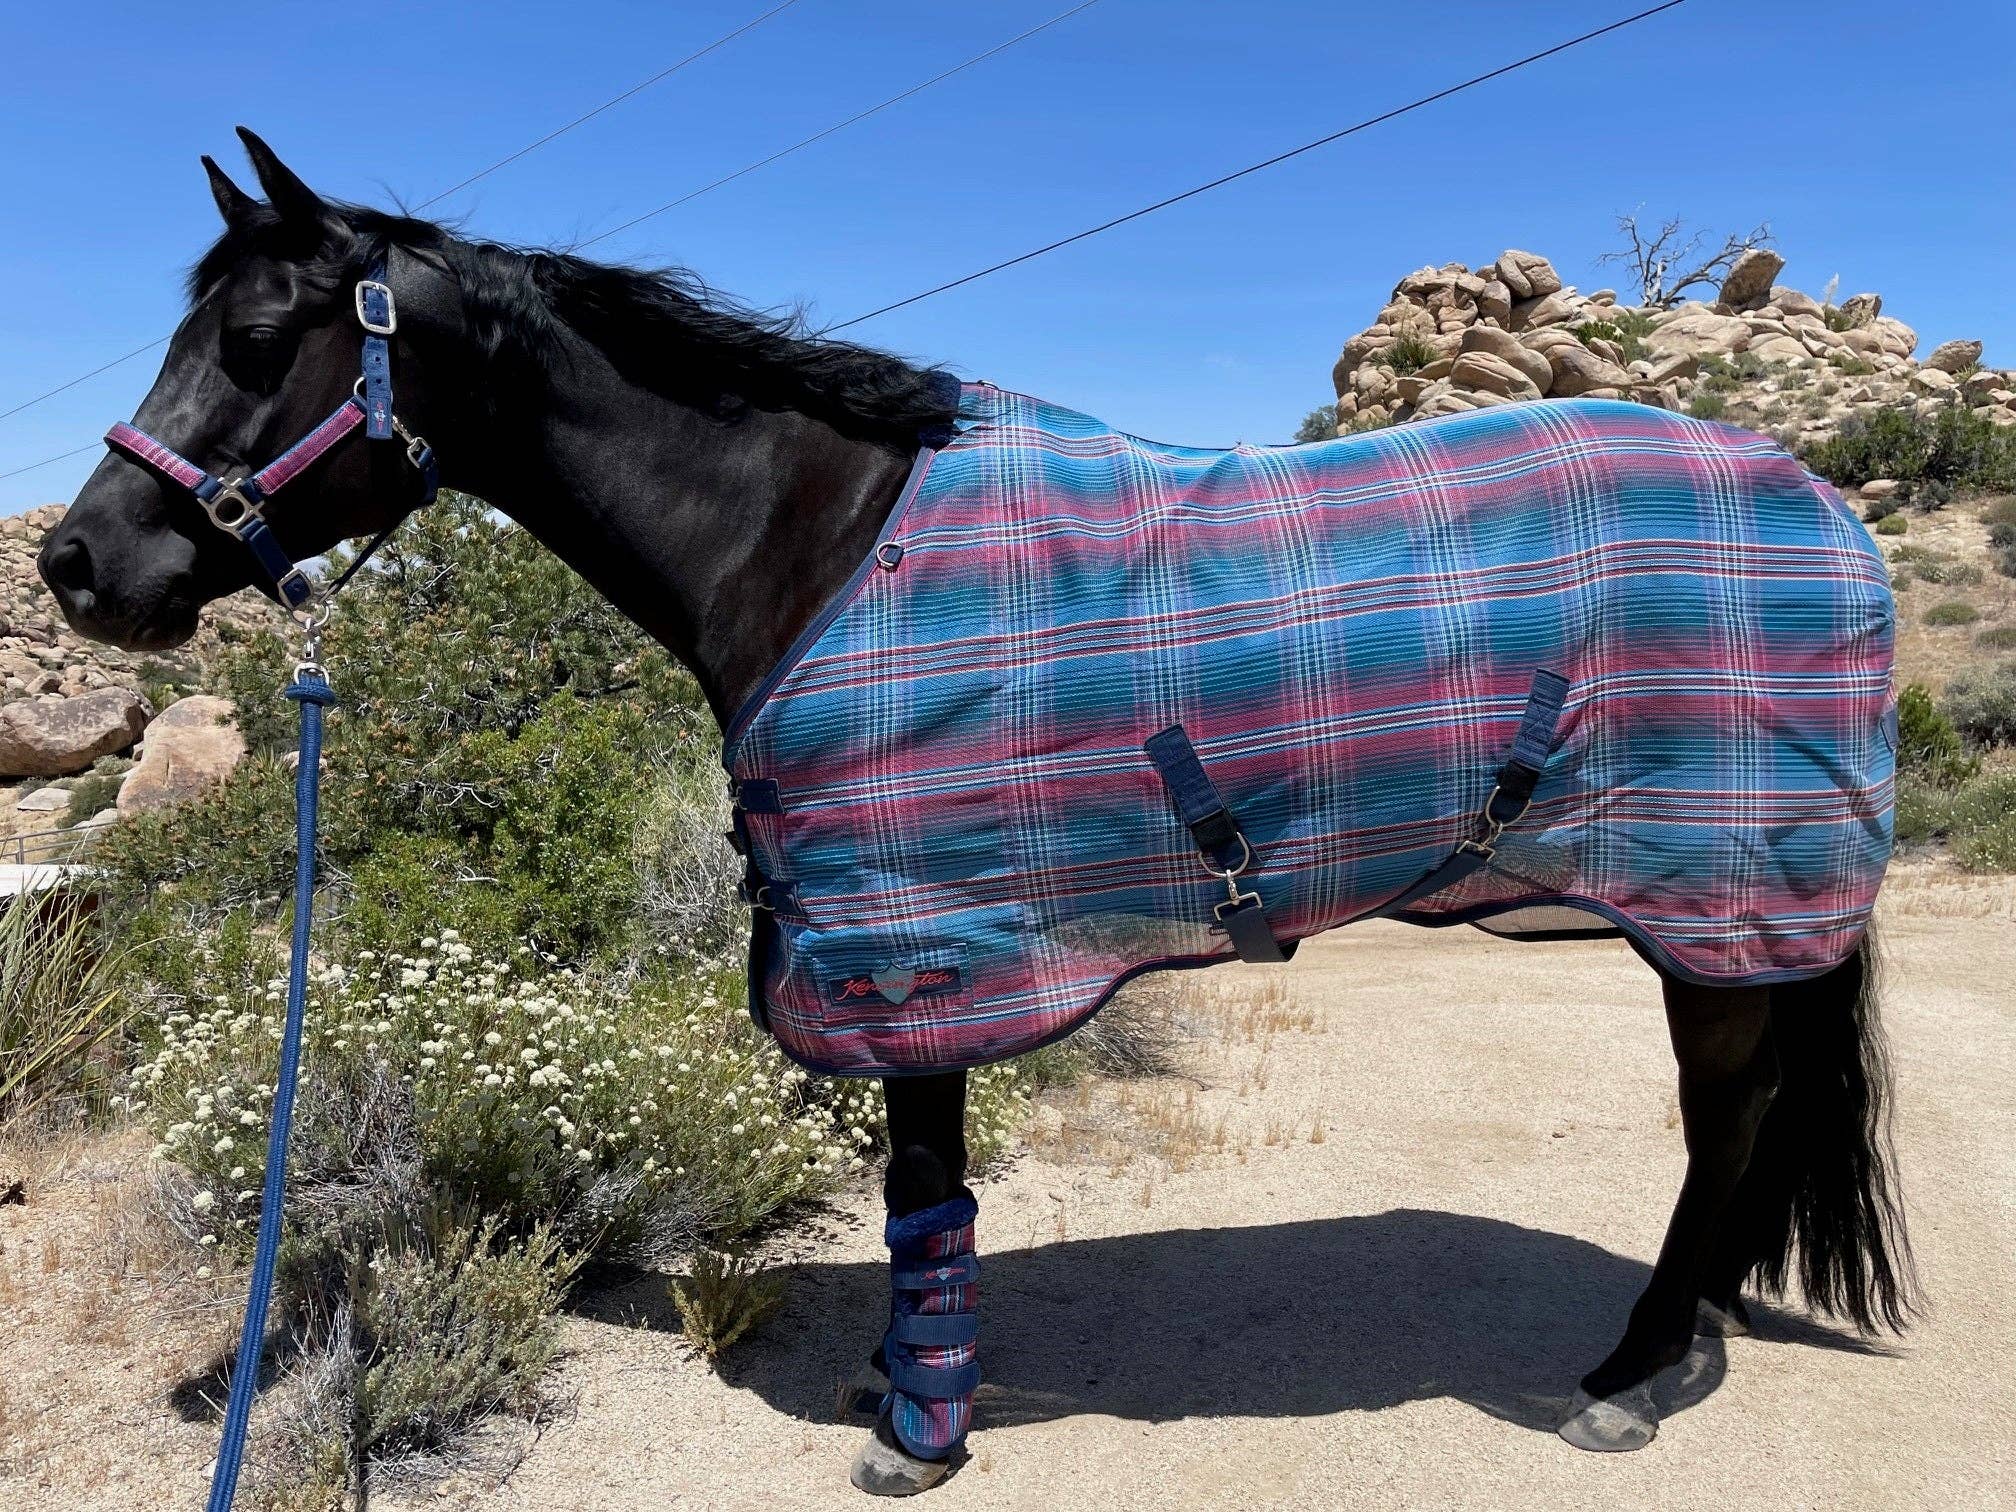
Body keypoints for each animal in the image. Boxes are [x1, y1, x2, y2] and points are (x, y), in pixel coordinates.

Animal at [39, 130, 1913, 1497]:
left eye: (256, 340)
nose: (79, 565)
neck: (807, 534)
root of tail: (1825, 508)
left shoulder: (922, 954)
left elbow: (925, 1192)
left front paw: (918, 1424)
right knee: (1738, 1135)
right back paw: (1679, 1343)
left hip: (1715, 906)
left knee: (1727, 1130)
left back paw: (1628, 1379)